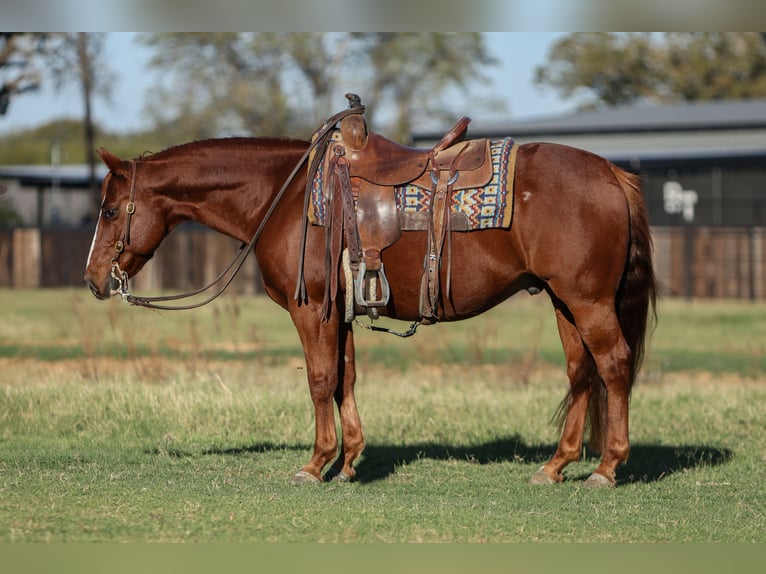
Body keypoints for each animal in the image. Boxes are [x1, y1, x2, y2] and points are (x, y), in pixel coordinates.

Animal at [84, 127, 656, 488]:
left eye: (110, 209)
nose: (93, 279)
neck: (284, 197)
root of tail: (612, 173)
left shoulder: (312, 309)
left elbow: (320, 380)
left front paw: (315, 464)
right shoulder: (340, 312)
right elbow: (345, 378)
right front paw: (349, 461)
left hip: (588, 301)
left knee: (613, 366)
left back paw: (606, 469)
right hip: (564, 301)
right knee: (582, 372)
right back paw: (555, 466)